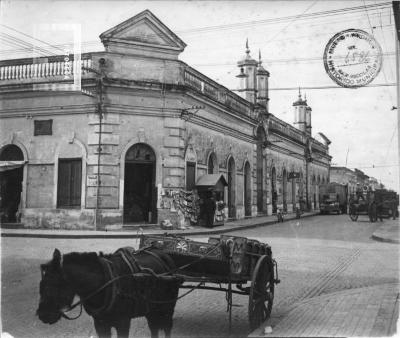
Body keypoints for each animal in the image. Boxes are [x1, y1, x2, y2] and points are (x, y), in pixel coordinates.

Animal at [36, 247, 183, 336]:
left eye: (54, 285)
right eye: (41, 285)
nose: (42, 315)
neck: (106, 283)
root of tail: (162, 253)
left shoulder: (123, 322)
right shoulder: (100, 324)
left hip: (168, 308)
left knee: (167, 327)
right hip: (152, 309)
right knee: (154, 328)